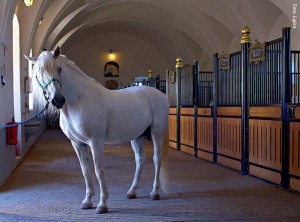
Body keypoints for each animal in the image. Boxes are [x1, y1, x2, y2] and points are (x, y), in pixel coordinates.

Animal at [26, 46, 169, 213]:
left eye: (59, 69)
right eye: (39, 72)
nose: (58, 100)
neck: (78, 100)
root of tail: (160, 94)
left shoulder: (96, 142)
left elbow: (98, 170)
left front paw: (102, 204)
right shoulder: (77, 143)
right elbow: (85, 170)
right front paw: (87, 201)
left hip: (157, 133)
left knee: (157, 159)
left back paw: (154, 192)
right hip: (137, 136)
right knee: (140, 159)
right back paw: (132, 192)